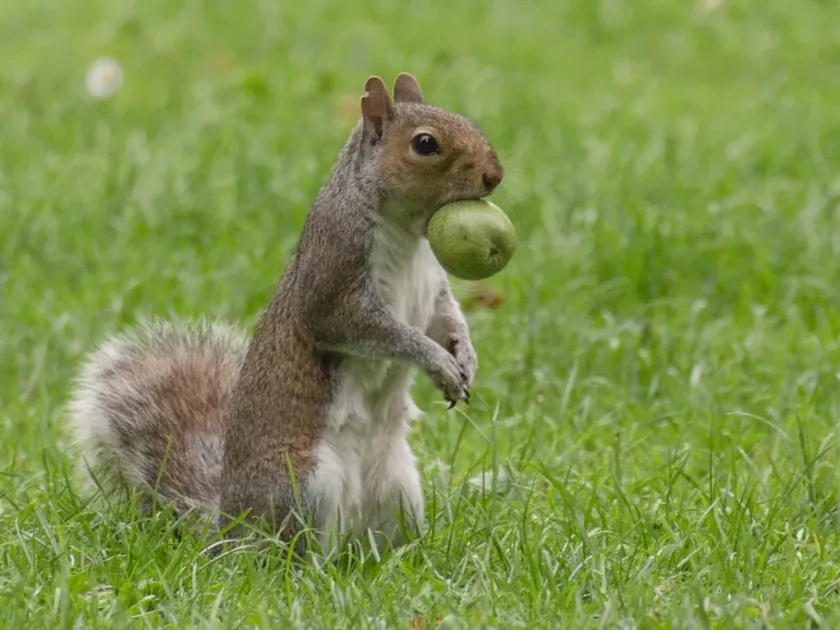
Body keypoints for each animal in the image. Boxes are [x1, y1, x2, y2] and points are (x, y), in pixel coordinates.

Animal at [66, 72, 504, 553]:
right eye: (425, 144)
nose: (495, 175)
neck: (408, 230)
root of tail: (230, 526)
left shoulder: (433, 291)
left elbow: (446, 320)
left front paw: (465, 357)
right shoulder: (333, 283)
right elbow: (378, 331)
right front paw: (436, 360)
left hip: (401, 489)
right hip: (305, 488)